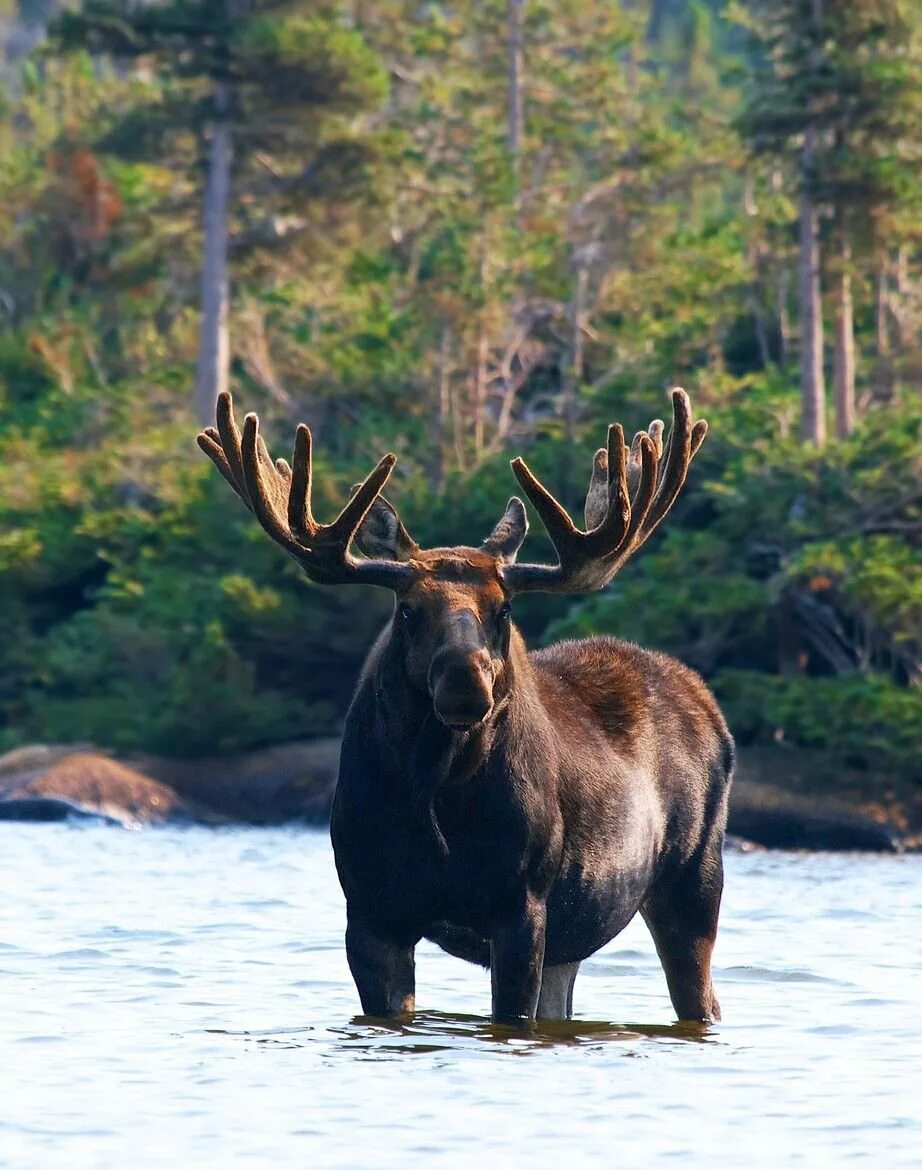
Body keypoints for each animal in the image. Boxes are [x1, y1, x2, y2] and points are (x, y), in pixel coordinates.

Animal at [197, 386, 730, 1024]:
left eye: (504, 608)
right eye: (407, 609)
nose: (464, 684)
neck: (436, 790)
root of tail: (708, 703)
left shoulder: (521, 905)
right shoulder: (370, 911)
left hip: (694, 880)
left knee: (704, 994)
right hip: (575, 940)